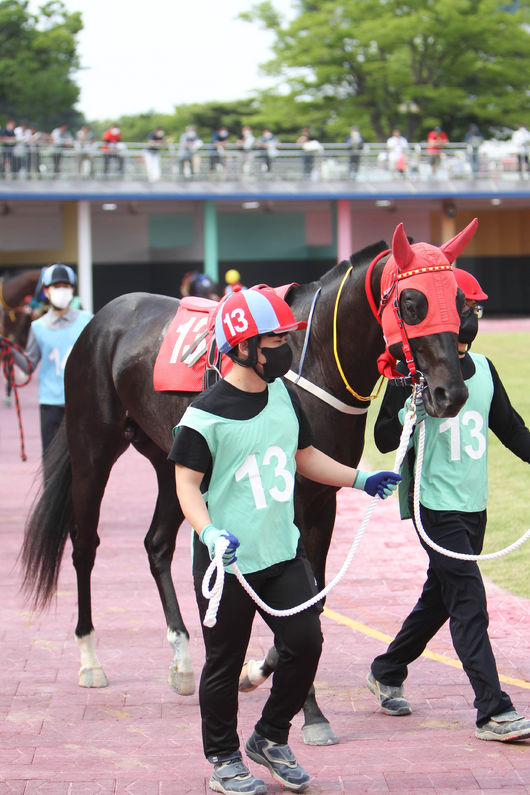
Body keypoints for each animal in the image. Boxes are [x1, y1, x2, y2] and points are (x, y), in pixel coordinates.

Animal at [21, 222, 474, 748]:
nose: (450, 393)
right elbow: (296, 604)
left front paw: (266, 679)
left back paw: (182, 658)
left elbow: (313, 601)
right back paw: (90, 657)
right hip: (93, 448)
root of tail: (101, 319)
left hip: (173, 462)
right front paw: (298, 704)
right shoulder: (290, 502)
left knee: (156, 544)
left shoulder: (321, 502)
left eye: (458, 300)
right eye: (411, 303)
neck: (312, 361)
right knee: (84, 546)